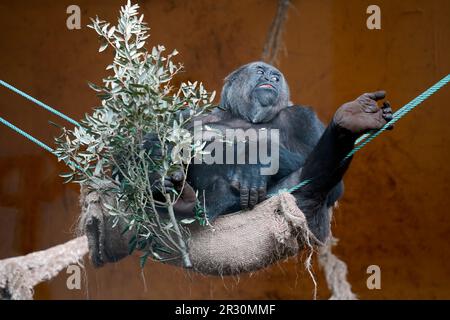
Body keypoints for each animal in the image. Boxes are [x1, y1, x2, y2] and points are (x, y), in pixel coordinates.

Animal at [146, 60, 392, 242]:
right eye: (260, 71)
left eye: (276, 77)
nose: (269, 80)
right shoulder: (188, 115)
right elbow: (152, 145)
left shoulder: (302, 116)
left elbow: (333, 186)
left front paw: (253, 158)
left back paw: (350, 121)